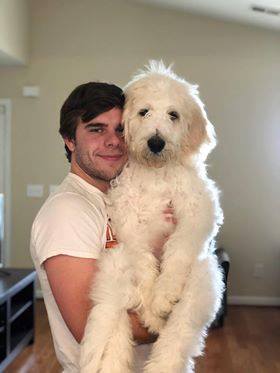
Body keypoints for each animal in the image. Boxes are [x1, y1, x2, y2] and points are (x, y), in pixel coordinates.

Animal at [80, 61, 224, 372]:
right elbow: (144, 262)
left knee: (177, 336)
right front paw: (151, 298)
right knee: (113, 325)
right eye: (144, 111)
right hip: (114, 273)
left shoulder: (197, 210)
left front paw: (163, 296)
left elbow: (179, 250)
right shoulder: (127, 219)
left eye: (173, 114)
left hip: (201, 283)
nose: (156, 142)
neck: (156, 174)